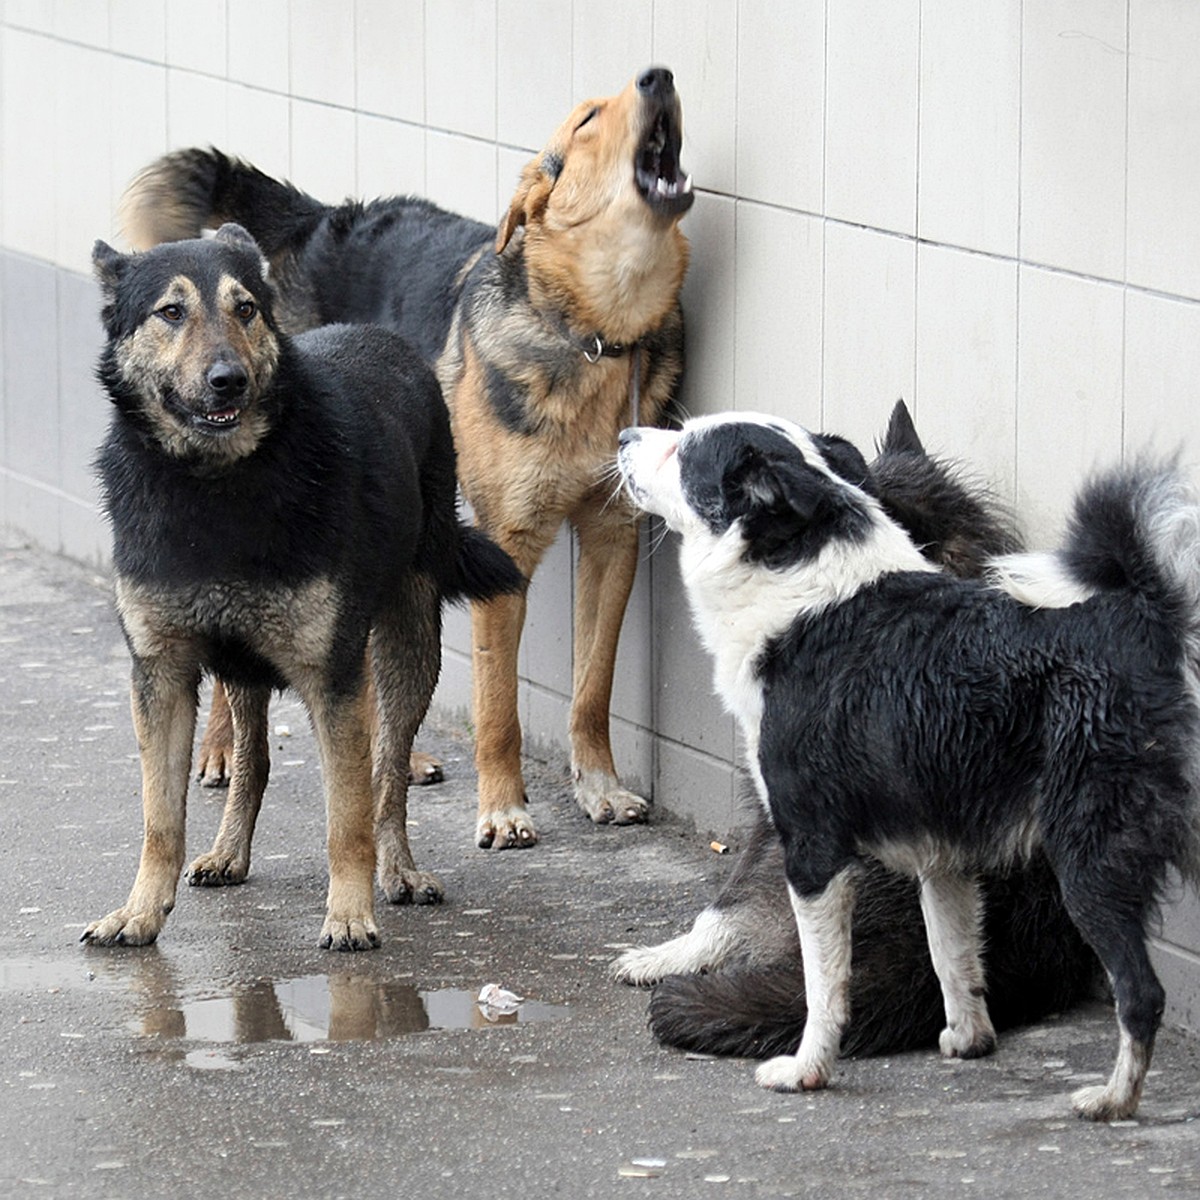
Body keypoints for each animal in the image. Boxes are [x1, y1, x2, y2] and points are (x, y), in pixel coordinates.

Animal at [79, 229, 520, 950]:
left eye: (246, 309)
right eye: (171, 312)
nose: (228, 379)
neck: (217, 486)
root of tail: (380, 334)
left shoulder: (332, 678)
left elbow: (348, 814)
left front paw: (349, 913)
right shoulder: (161, 676)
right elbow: (160, 818)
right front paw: (140, 912)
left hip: (406, 648)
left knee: (387, 771)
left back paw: (398, 870)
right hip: (243, 666)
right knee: (253, 759)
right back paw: (229, 852)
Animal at [118, 68, 700, 854]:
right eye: (587, 120)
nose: (658, 76)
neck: (595, 334)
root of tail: (320, 219)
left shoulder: (613, 539)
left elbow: (592, 687)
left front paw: (598, 786)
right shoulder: (509, 546)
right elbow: (497, 703)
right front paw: (503, 807)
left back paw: (394, 751)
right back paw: (219, 748)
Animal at [619, 415, 1200, 1123]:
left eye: (683, 448)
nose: (622, 436)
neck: (803, 587)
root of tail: (1144, 622)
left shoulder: (812, 851)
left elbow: (824, 985)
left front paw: (808, 1069)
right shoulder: (941, 857)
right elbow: (954, 959)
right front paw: (969, 1041)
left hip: (1089, 862)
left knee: (1141, 994)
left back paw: (1115, 1098)